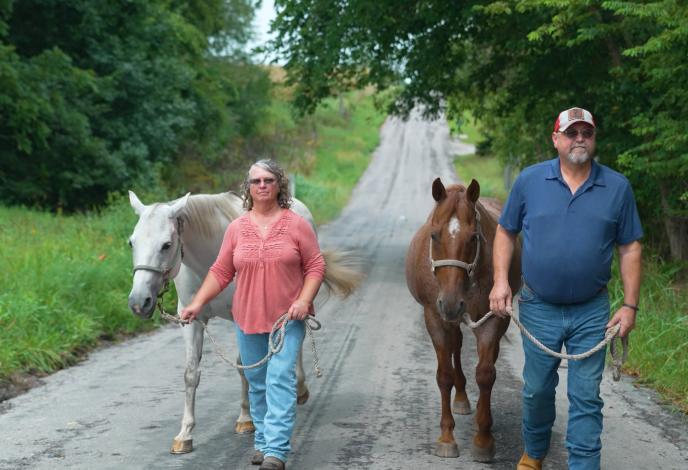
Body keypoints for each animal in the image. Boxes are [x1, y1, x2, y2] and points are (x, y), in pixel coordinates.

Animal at [405, 178, 521, 462]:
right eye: (434, 235)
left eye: (473, 237)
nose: (450, 302)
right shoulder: (435, 318)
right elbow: (444, 375)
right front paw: (447, 437)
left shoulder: (493, 319)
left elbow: (486, 374)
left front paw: (483, 439)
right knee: (456, 346)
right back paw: (461, 399)